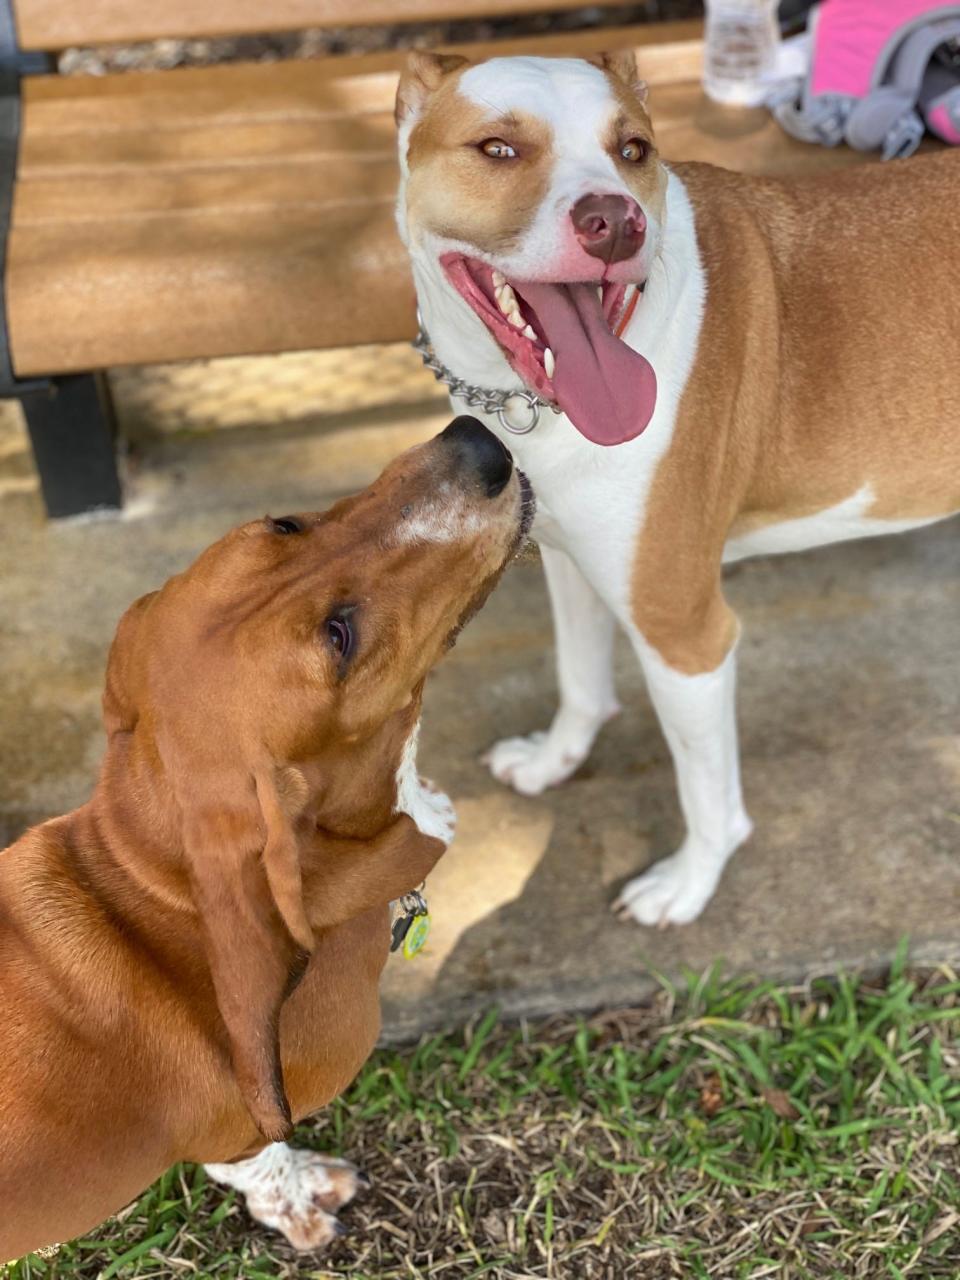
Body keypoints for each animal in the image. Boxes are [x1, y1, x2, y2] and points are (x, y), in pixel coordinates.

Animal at [0, 417, 535, 1259]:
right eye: (339, 637)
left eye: (283, 524)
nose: (476, 439)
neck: (151, 890)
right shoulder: (238, 1134)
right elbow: (262, 1162)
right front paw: (302, 1203)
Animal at [396, 52, 960, 931]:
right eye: (498, 149)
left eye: (633, 150)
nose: (615, 222)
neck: (533, 407)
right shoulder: (568, 558)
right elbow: (580, 677)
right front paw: (556, 759)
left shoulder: (684, 632)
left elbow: (707, 793)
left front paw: (690, 883)